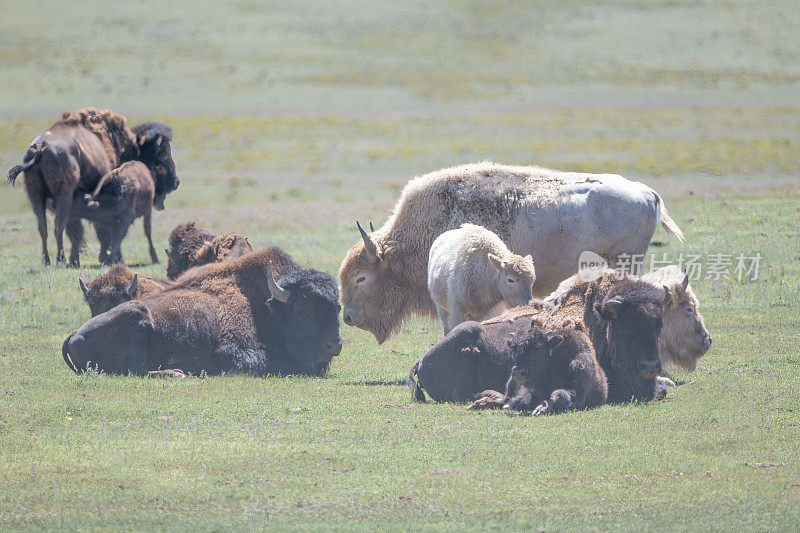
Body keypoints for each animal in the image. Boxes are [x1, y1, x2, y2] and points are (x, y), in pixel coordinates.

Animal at [5, 108, 177, 266]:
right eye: (161, 156)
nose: (175, 182)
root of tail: (40, 146)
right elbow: (104, 229)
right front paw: (111, 258)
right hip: (62, 195)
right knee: (59, 226)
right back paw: (61, 259)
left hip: (35, 196)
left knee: (43, 228)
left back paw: (47, 261)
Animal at [65, 248, 344, 376]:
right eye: (302, 308)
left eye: (337, 308)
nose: (334, 345)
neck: (267, 306)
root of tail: (74, 334)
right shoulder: (234, 351)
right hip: (139, 317)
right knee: (137, 369)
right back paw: (176, 373)